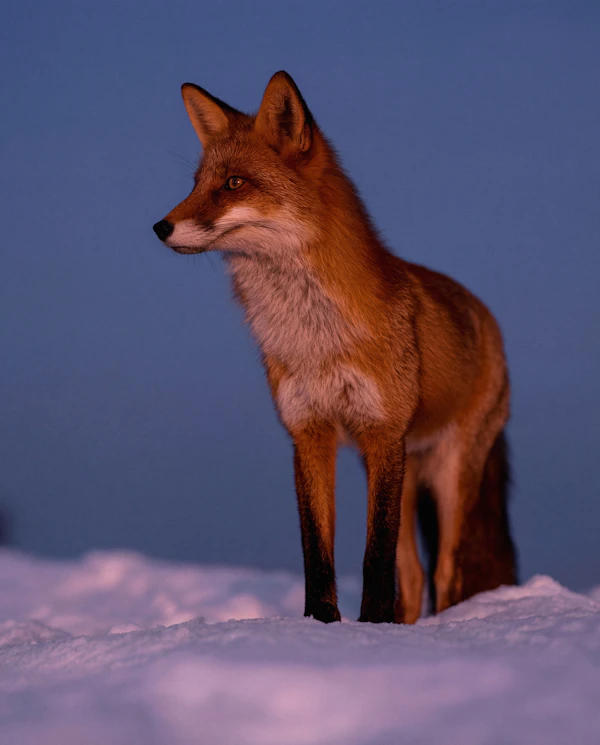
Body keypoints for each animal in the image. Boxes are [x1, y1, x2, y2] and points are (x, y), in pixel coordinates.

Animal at [153, 71, 517, 624]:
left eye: (233, 183)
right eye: (195, 184)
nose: (159, 227)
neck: (314, 339)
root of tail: (483, 313)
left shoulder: (382, 431)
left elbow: (374, 558)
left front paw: (369, 628)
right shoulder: (310, 431)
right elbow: (317, 551)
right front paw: (324, 626)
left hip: (448, 474)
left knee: (445, 575)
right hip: (401, 470)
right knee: (413, 577)